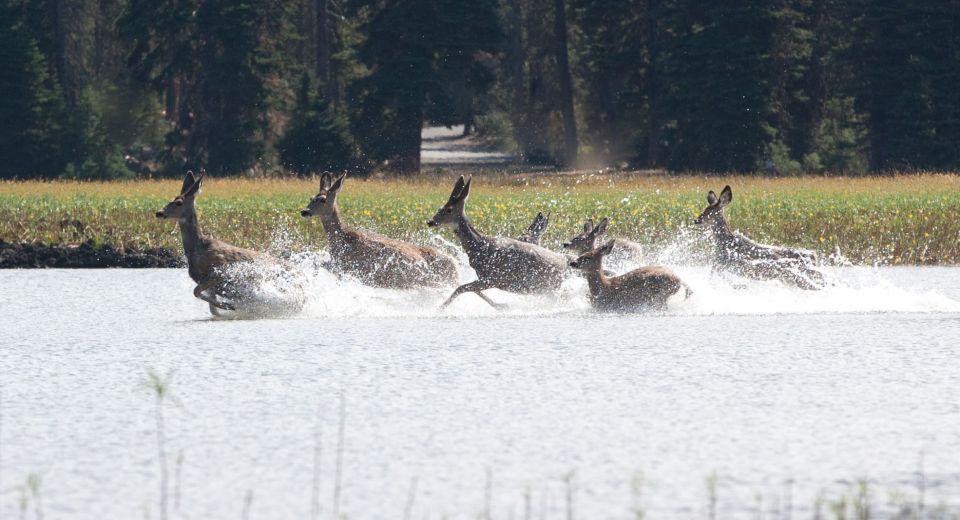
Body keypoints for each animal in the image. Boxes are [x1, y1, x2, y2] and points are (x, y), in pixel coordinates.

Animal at [155, 173, 304, 314]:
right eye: (170, 199)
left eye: (179, 203)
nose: (159, 213)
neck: (197, 249)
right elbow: (210, 307)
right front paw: (226, 305)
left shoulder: (220, 271)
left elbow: (196, 292)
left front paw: (227, 305)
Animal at [304, 174, 462, 288]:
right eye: (311, 197)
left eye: (322, 199)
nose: (304, 211)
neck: (342, 239)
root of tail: (456, 266)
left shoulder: (350, 266)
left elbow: (319, 264)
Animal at [424, 177, 568, 310]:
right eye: (440, 207)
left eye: (449, 209)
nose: (430, 222)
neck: (479, 247)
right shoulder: (486, 278)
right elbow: (472, 289)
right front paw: (501, 305)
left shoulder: (493, 277)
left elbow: (461, 288)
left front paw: (439, 308)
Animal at [692, 185, 828, 290]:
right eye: (704, 210)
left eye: (709, 212)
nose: (696, 220)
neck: (725, 241)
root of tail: (813, 256)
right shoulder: (722, 264)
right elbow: (714, 276)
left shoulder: (728, 263)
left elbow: (715, 276)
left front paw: (740, 286)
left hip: (792, 275)